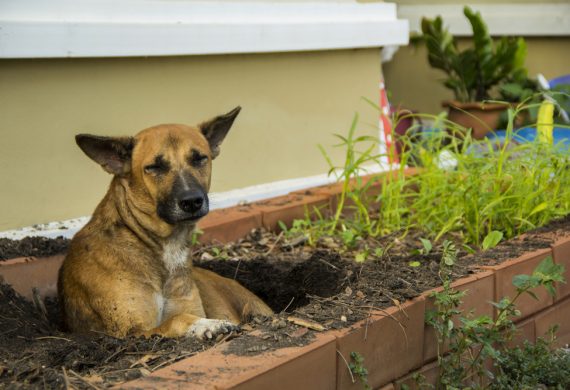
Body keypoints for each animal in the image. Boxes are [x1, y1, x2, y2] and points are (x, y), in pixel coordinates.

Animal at [58, 106, 272, 338]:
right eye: (154, 167)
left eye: (199, 158)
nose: (192, 201)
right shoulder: (132, 332)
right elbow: (175, 320)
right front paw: (206, 325)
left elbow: (181, 313)